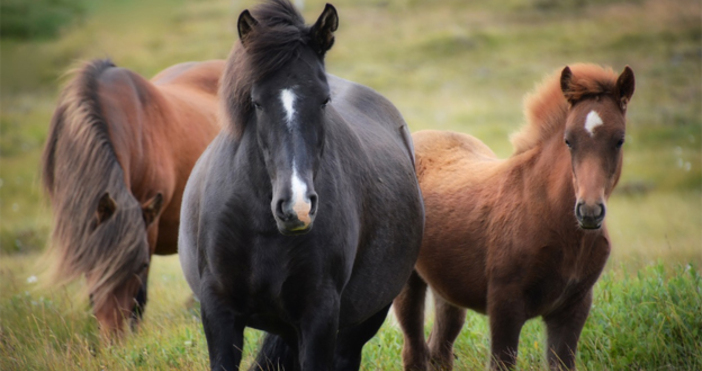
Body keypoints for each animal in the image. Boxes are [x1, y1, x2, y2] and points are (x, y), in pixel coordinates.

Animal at [179, 1, 426, 370]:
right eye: (256, 102)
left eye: (324, 100)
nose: (297, 207)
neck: (261, 226)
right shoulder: (219, 311)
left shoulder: (319, 316)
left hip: (363, 320)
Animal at [396, 65, 640, 370]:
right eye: (568, 140)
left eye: (620, 140)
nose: (589, 211)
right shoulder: (505, 305)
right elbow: (501, 361)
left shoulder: (573, 308)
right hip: (408, 283)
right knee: (414, 352)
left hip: (447, 288)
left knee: (439, 350)